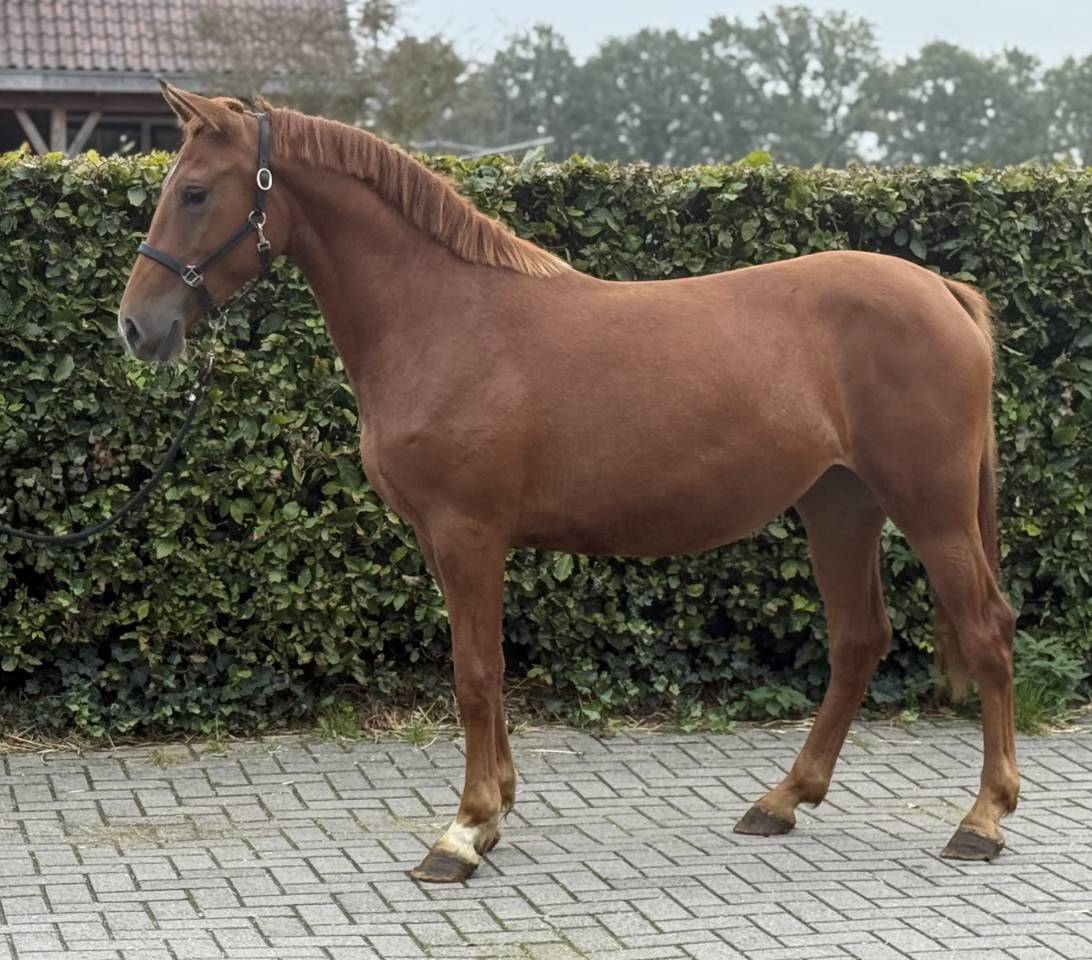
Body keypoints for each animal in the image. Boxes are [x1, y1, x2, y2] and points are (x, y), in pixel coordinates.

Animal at [118, 83, 1018, 883]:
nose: (137, 326)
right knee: (858, 640)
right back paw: (781, 800)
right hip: (839, 503)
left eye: (194, 192)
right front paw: (494, 816)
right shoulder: (443, 540)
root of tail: (942, 290)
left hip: (930, 508)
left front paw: (462, 832)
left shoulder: (467, 532)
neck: (441, 318)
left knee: (986, 631)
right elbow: (484, 670)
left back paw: (982, 821)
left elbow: (475, 674)